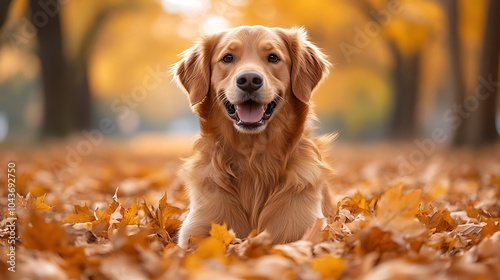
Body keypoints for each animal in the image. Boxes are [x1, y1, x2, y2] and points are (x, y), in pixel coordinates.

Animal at [174, 25, 334, 247]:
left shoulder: (303, 228)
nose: (249, 80)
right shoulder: (197, 229)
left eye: (273, 57)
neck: (253, 163)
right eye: (227, 58)